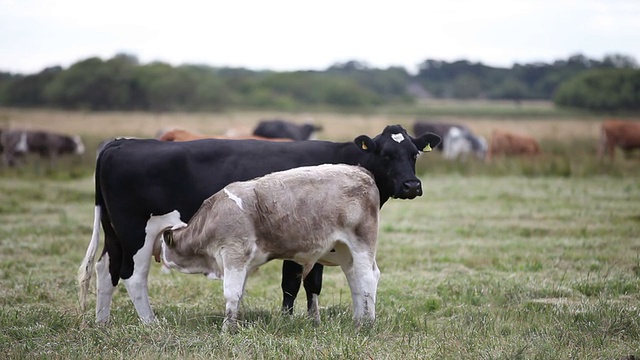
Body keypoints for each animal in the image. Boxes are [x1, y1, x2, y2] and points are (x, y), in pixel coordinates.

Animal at [147, 164, 380, 332]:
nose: (157, 257)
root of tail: (361, 171)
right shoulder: (245, 264)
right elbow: (239, 293)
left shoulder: (233, 253)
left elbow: (231, 293)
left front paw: (227, 329)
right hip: (344, 250)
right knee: (355, 279)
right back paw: (358, 319)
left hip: (361, 241)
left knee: (368, 277)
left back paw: (368, 323)